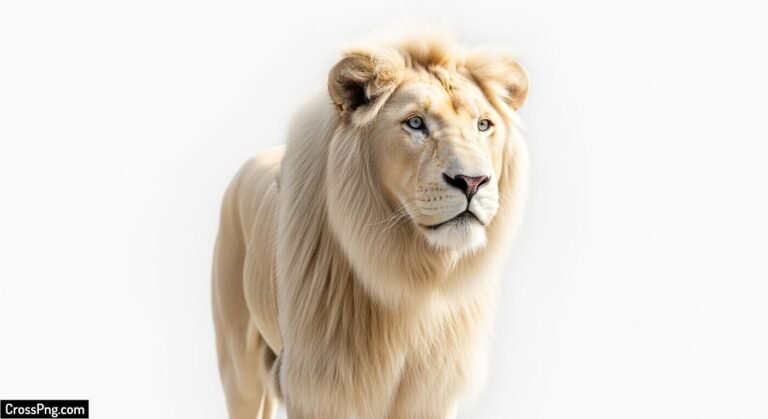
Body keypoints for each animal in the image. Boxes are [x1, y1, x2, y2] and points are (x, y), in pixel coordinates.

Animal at [212, 33, 529, 419]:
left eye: (484, 125)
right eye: (415, 123)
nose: (472, 181)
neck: (413, 276)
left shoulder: (430, 393)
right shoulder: (317, 389)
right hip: (239, 362)